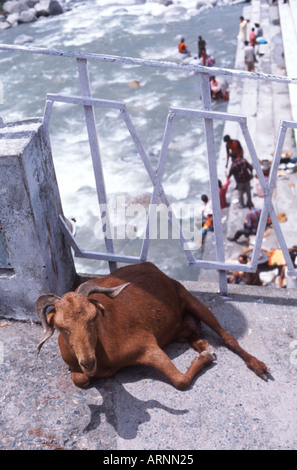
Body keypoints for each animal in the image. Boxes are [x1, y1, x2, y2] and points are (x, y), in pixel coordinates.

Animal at [35, 260, 268, 390]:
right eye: (61, 328)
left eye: (94, 317)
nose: (88, 362)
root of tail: (151, 266)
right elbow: (80, 380)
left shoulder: (146, 345)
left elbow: (180, 381)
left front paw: (204, 359)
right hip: (181, 327)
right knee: (195, 335)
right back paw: (204, 346)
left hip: (187, 296)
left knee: (227, 337)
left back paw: (257, 365)